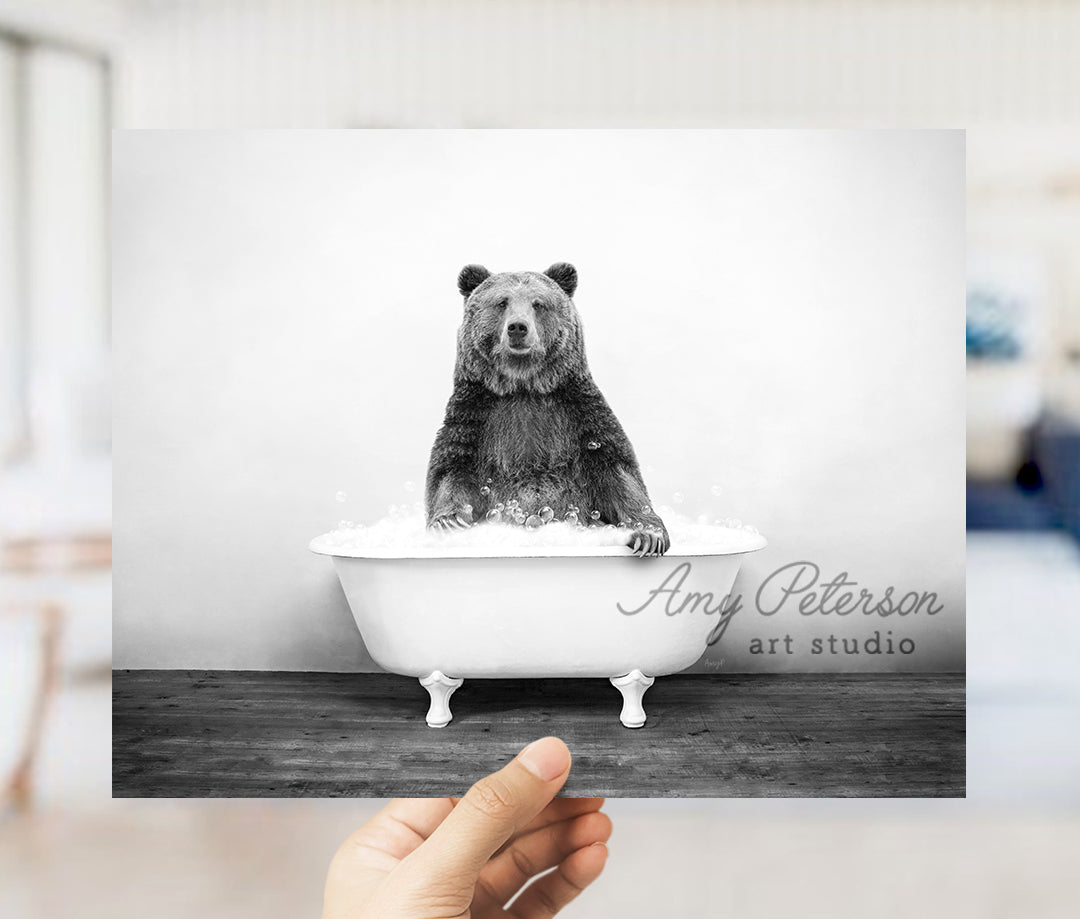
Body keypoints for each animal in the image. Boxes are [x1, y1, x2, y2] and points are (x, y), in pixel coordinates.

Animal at [423, 262, 665, 557]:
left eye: (538, 303)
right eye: (501, 302)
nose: (518, 327)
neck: (524, 386)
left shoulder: (579, 416)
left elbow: (617, 471)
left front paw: (648, 535)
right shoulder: (475, 417)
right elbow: (451, 470)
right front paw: (449, 522)